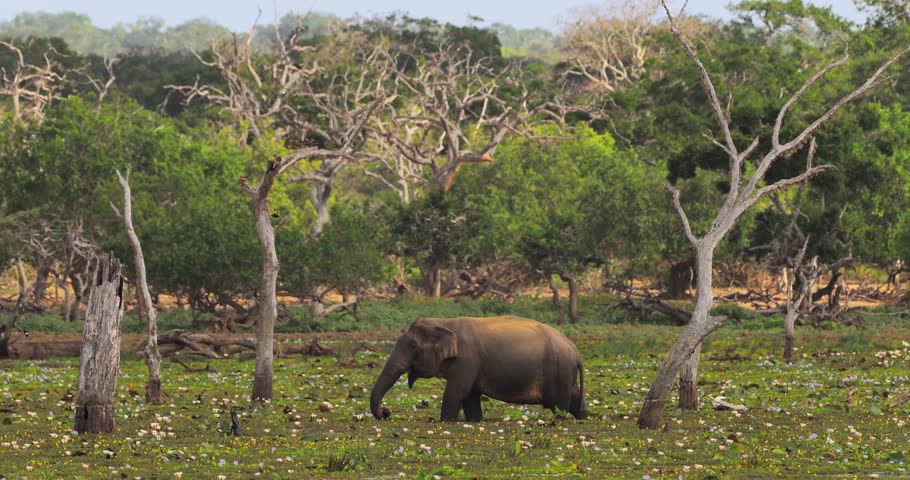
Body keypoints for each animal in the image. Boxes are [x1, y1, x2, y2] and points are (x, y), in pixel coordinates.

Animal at [370, 316, 586, 422]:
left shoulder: (467, 360)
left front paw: (444, 421)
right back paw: (584, 416)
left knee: (561, 404)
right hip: (566, 373)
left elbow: (456, 392)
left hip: (560, 371)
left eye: (413, 346)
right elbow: (470, 396)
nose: (386, 412)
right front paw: (475, 420)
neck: (443, 322)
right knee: (575, 397)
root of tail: (576, 352)